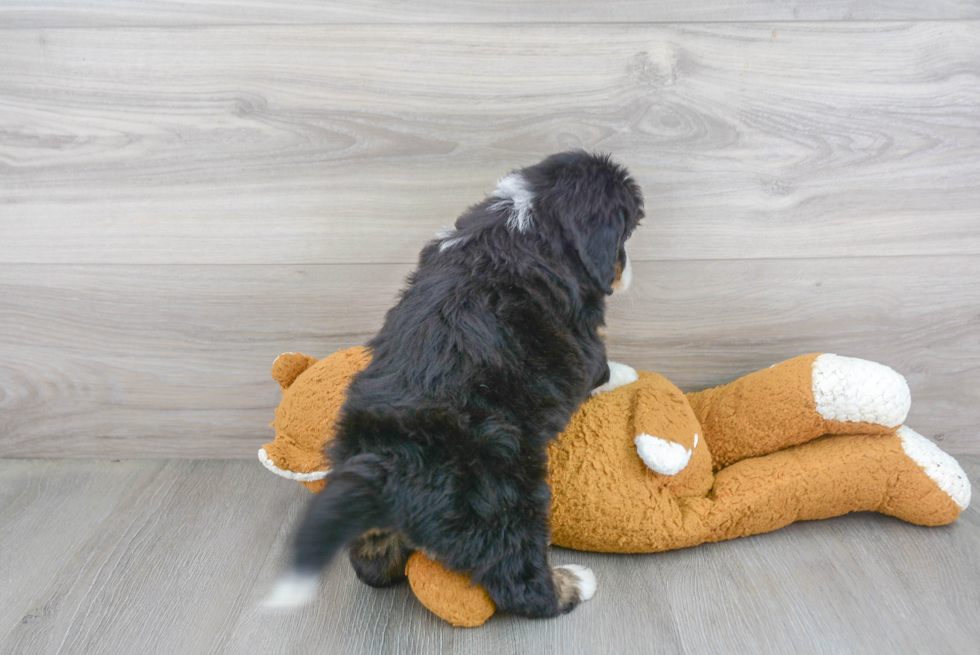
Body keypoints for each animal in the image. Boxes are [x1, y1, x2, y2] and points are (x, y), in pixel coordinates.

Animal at [266, 152, 644, 620]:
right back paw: (571, 583)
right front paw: (627, 373)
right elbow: (600, 367)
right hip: (502, 491)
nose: (627, 270)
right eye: (625, 235)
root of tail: (385, 463)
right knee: (516, 577)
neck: (532, 218)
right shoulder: (583, 340)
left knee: (372, 561)